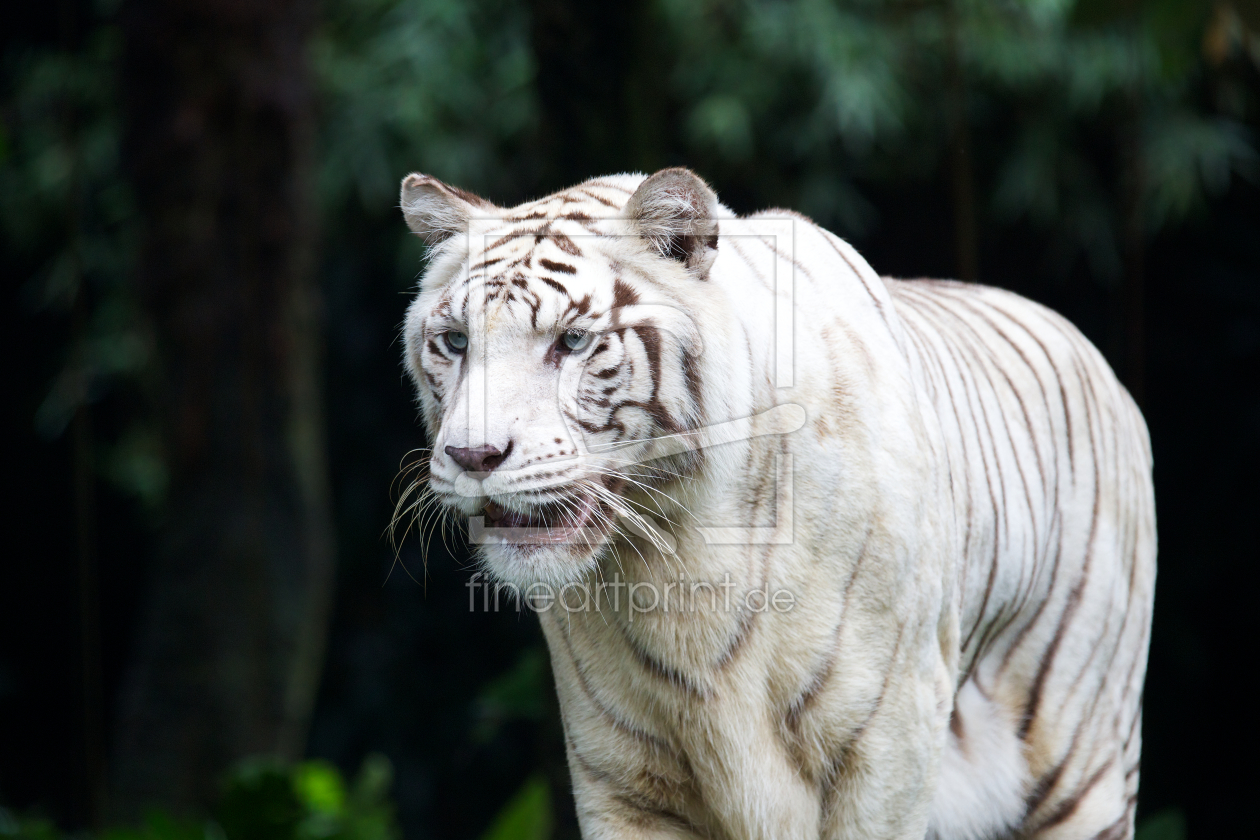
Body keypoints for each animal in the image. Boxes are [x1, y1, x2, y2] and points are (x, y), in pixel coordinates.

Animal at [398, 167, 1154, 836]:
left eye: (573, 341)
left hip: (1082, 759)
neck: (675, 558)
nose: (473, 456)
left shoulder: (891, 738)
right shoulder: (617, 769)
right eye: (455, 343)